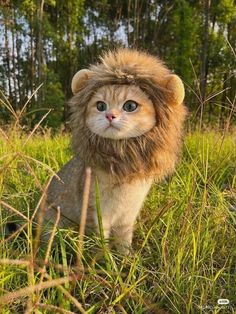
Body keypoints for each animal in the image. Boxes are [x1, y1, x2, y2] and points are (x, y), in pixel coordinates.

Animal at [41, 48, 187, 253]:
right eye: (100, 105)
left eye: (130, 105)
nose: (110, 115)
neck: (121, 166)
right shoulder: (96, 215)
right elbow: (99, 243)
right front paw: (103, 259)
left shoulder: (127, 218)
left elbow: (124, 242)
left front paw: (126, 257)